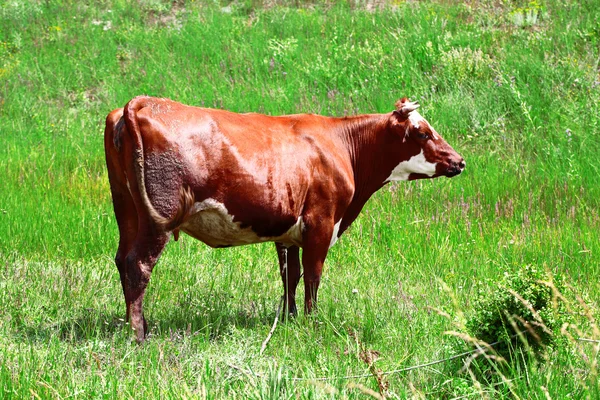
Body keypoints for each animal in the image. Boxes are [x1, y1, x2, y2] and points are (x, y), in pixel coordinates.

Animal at [103, 96, 464, 340]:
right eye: (422, 133)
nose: (459, 161)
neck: (342, 145)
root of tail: (141, 103)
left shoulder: (288, 231)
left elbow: (290, 276)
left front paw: (290, 319)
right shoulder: (321, 223)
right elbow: (313, 276)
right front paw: (313, 321)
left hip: (126, 209)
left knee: (122, 260)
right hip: (158, 218)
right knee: (139, 264)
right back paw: (139, 334)